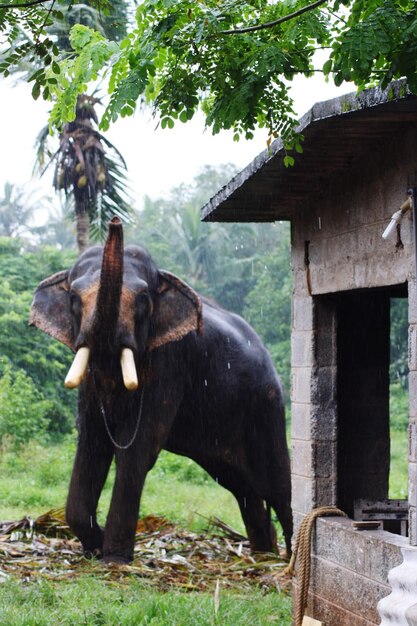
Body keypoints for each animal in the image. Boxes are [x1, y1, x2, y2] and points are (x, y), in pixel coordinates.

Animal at [29, 217, 290, 564]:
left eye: (143, 299)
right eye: (73, 298)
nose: (115, 220)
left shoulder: (171, 361)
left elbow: (137, 448)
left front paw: (114, 558)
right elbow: (91, 443)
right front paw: (94, 547)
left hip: (268, 406)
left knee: (277, 488)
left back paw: (288, 558)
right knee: (240, 485)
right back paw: (265, 554)